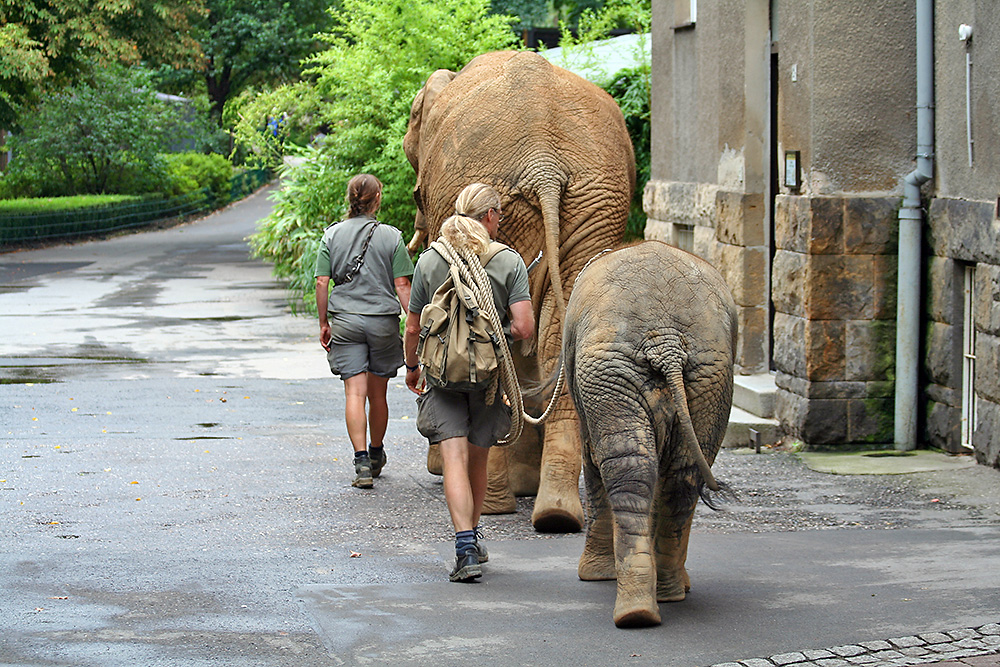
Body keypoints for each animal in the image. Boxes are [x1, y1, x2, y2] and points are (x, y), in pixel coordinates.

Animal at [404, 49, 632, 532]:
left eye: (415, 194)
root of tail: (544, 165)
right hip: (596, 201)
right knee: (554, 335)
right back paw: (556, 514)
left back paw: (494, 504)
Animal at [568, 243, 740, 628]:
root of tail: (667, 343)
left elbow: (593, 459)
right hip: (707, 375)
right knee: (679, 473)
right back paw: (655, 601)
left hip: (612, 370)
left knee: (631, 468)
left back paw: (639, 606)